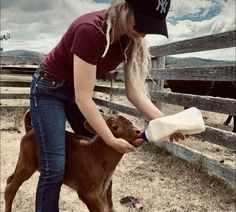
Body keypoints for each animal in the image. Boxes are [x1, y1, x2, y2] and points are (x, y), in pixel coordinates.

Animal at [4, 111, 143, 212]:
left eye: (131, 122)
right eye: (114, 127)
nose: (139, 132)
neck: (97, 154)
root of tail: (30, 128)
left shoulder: (103, 191)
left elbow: (108, 208)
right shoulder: (88, 193)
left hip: (24, 162)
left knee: (9, 179)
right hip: (27, 164)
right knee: (10, 188)